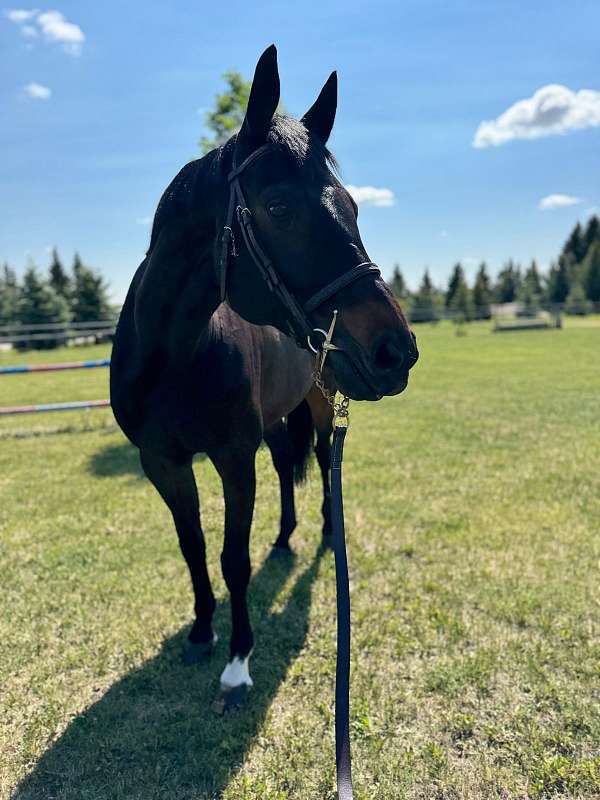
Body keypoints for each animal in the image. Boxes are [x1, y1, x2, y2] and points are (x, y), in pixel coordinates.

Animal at [110, 44, 418, 703]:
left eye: (353, 207)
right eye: (279, 207)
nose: (395, 350)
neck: (176, 356)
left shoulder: (232, 457)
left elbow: (233, 559)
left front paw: (238, 661)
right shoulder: (162, 462)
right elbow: (195, 547)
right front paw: (203, 630)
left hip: (324, 407)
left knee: (323, 463)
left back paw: (324, 534)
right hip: (280, 418)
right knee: (284, 467)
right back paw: (283, 539)